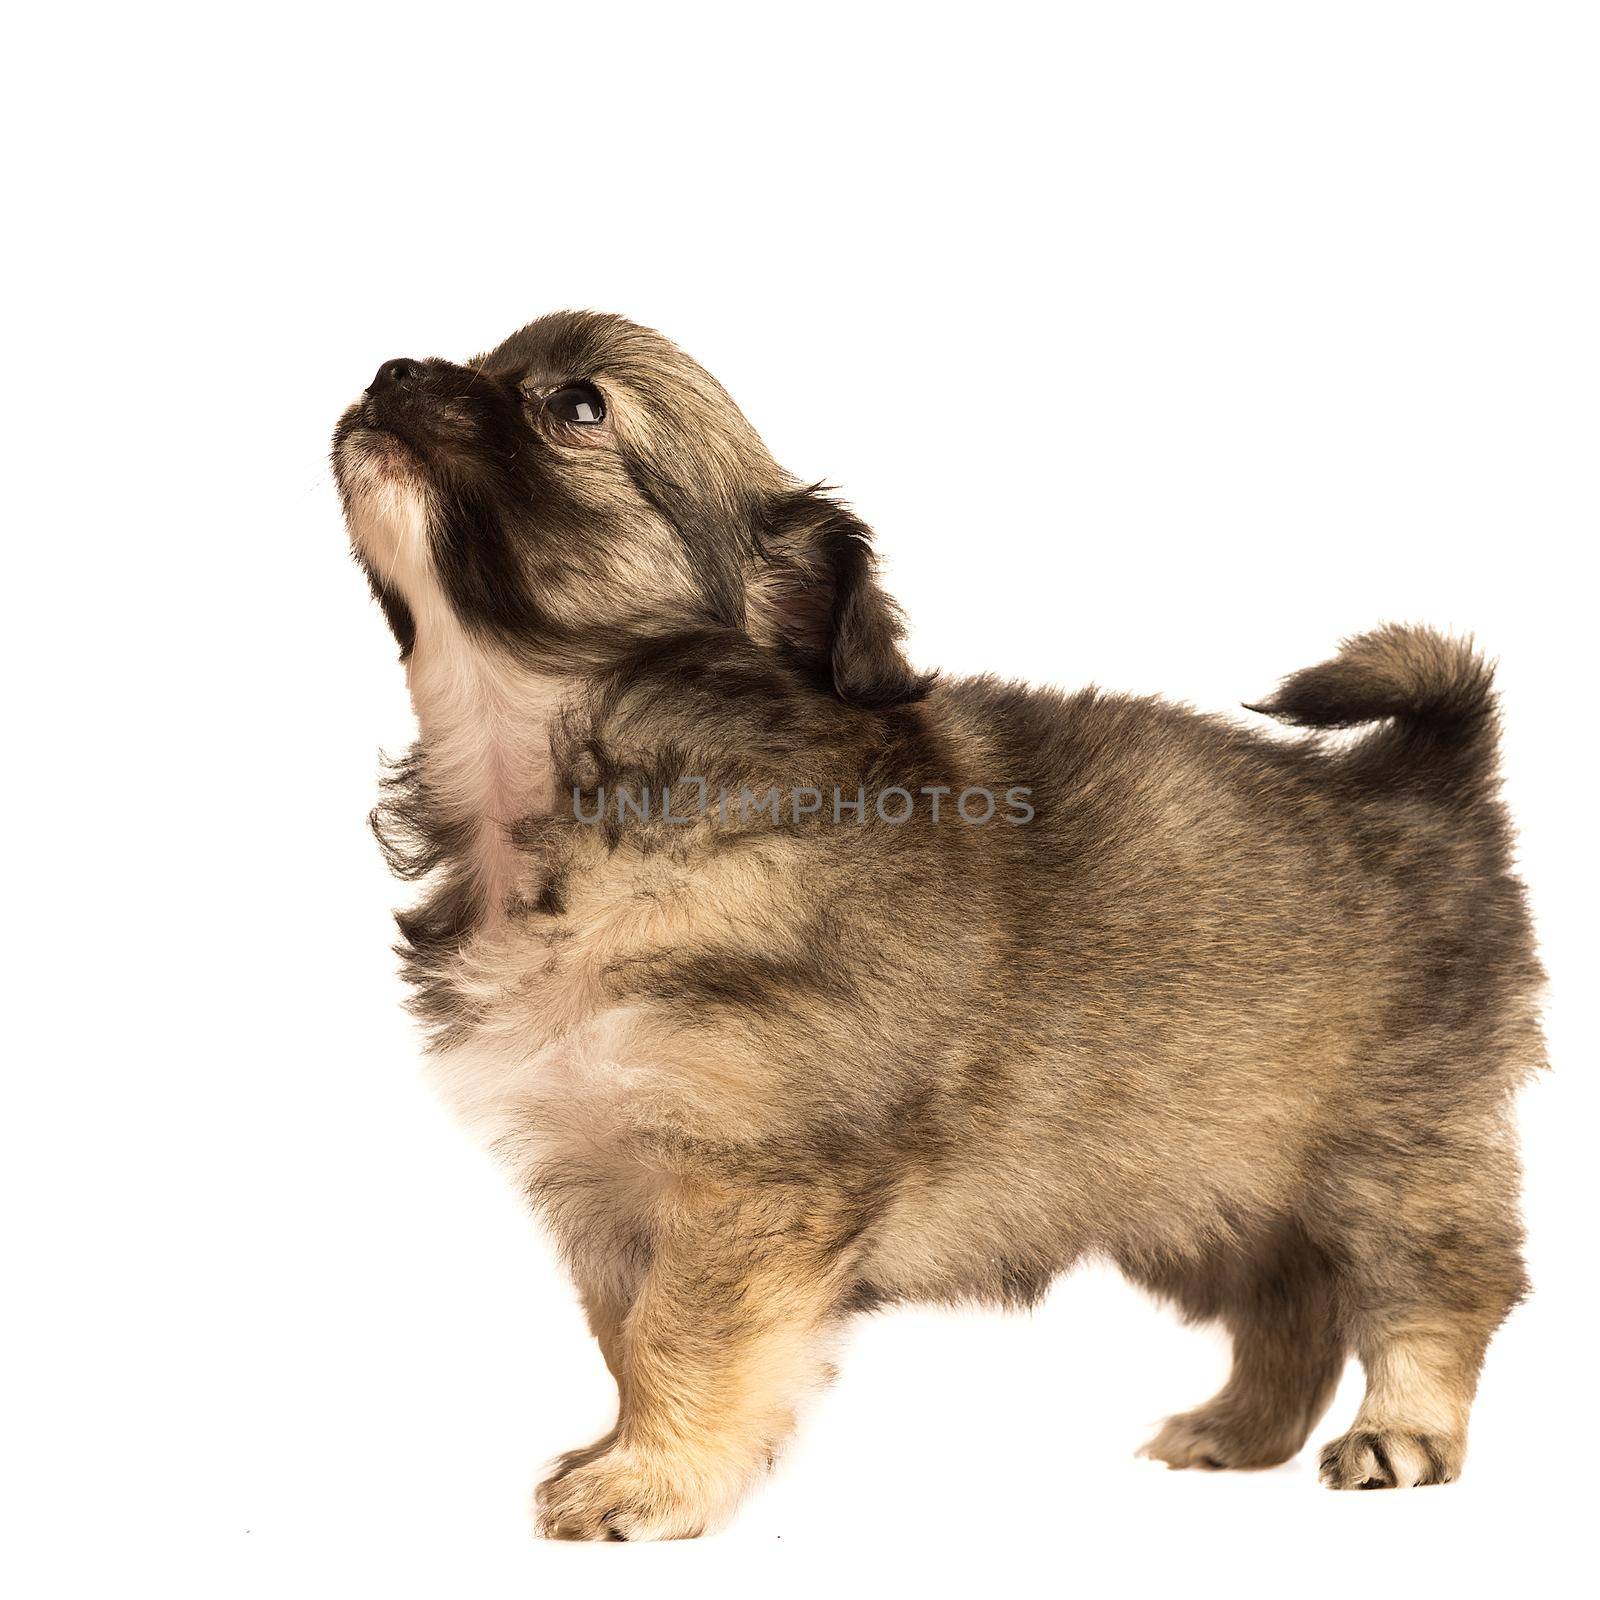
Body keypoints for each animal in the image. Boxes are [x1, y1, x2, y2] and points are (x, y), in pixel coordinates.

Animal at [331, 308, 1542, 1536]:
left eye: (575, 405)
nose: (389, 372)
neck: (582, 780)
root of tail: (1422, 784)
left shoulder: (746, 1179)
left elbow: (686, 1335)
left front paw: (652, 1478)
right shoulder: (606, 1184)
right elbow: (629, 1338)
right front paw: (633, 1449)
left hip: (1390, 1155)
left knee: (1435, 1289)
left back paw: (1402, 1430)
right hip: (1201, 1173)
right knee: (1290, 1307)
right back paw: (1238, 1430)